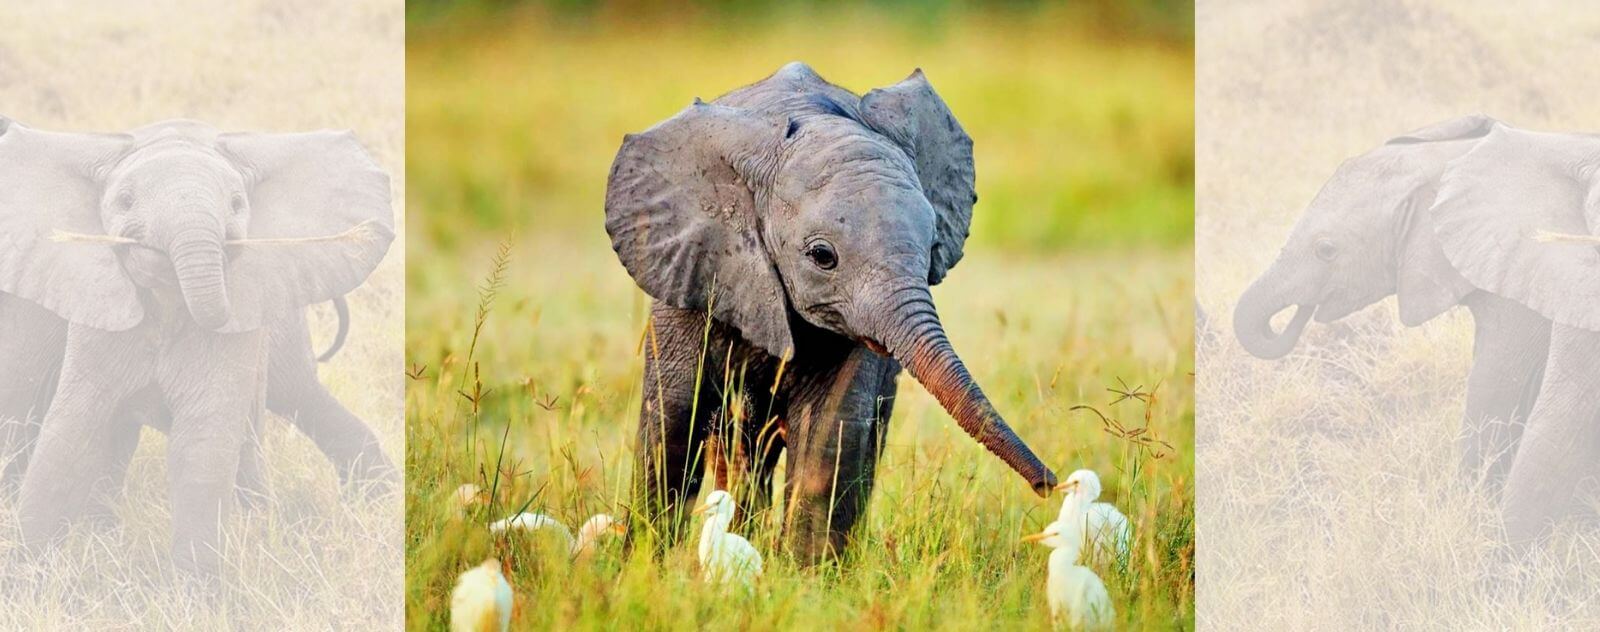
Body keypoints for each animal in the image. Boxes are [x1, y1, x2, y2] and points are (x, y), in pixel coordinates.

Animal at [0, 117, 395, 572]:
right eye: (125, 200)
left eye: (237, 203)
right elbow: (70, 434)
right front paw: (28, 573)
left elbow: (201, 446)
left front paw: (195, 589)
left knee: (298, 397)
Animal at [604, 60, 1056, 563]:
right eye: (823, 256)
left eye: (932, 247)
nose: (1049, 485)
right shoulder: (691, 270)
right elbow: (673, 422)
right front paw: (642, 564)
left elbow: (830, 431)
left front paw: (807, 576)